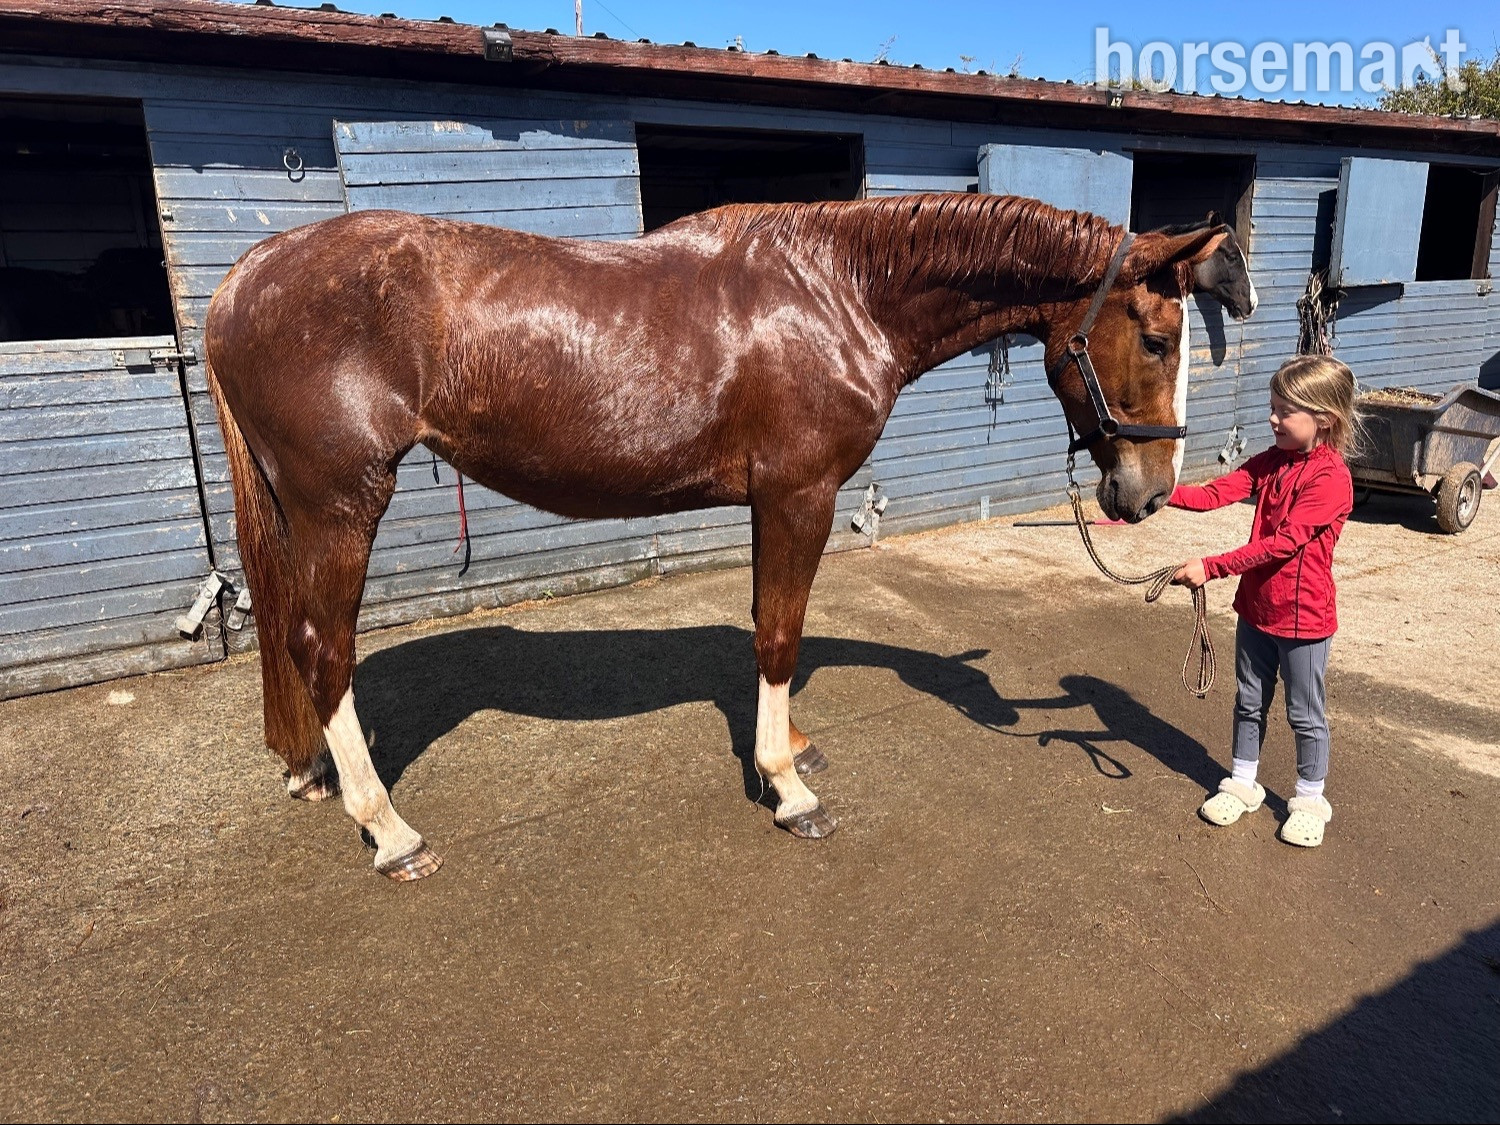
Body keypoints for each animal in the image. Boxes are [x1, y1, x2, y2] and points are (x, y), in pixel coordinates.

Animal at [203, 193, 1253, 880]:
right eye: (1157, 339)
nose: (1150, 493)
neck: (839, 293)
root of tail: (245, 278)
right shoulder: (799, 494)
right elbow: (781, 631)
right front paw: (789, 790)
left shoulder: (772, 501)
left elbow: (764, 627)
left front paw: (789, 747)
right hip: (342, 504)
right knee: (322, 647)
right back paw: (389, 829)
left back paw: (317, 776)